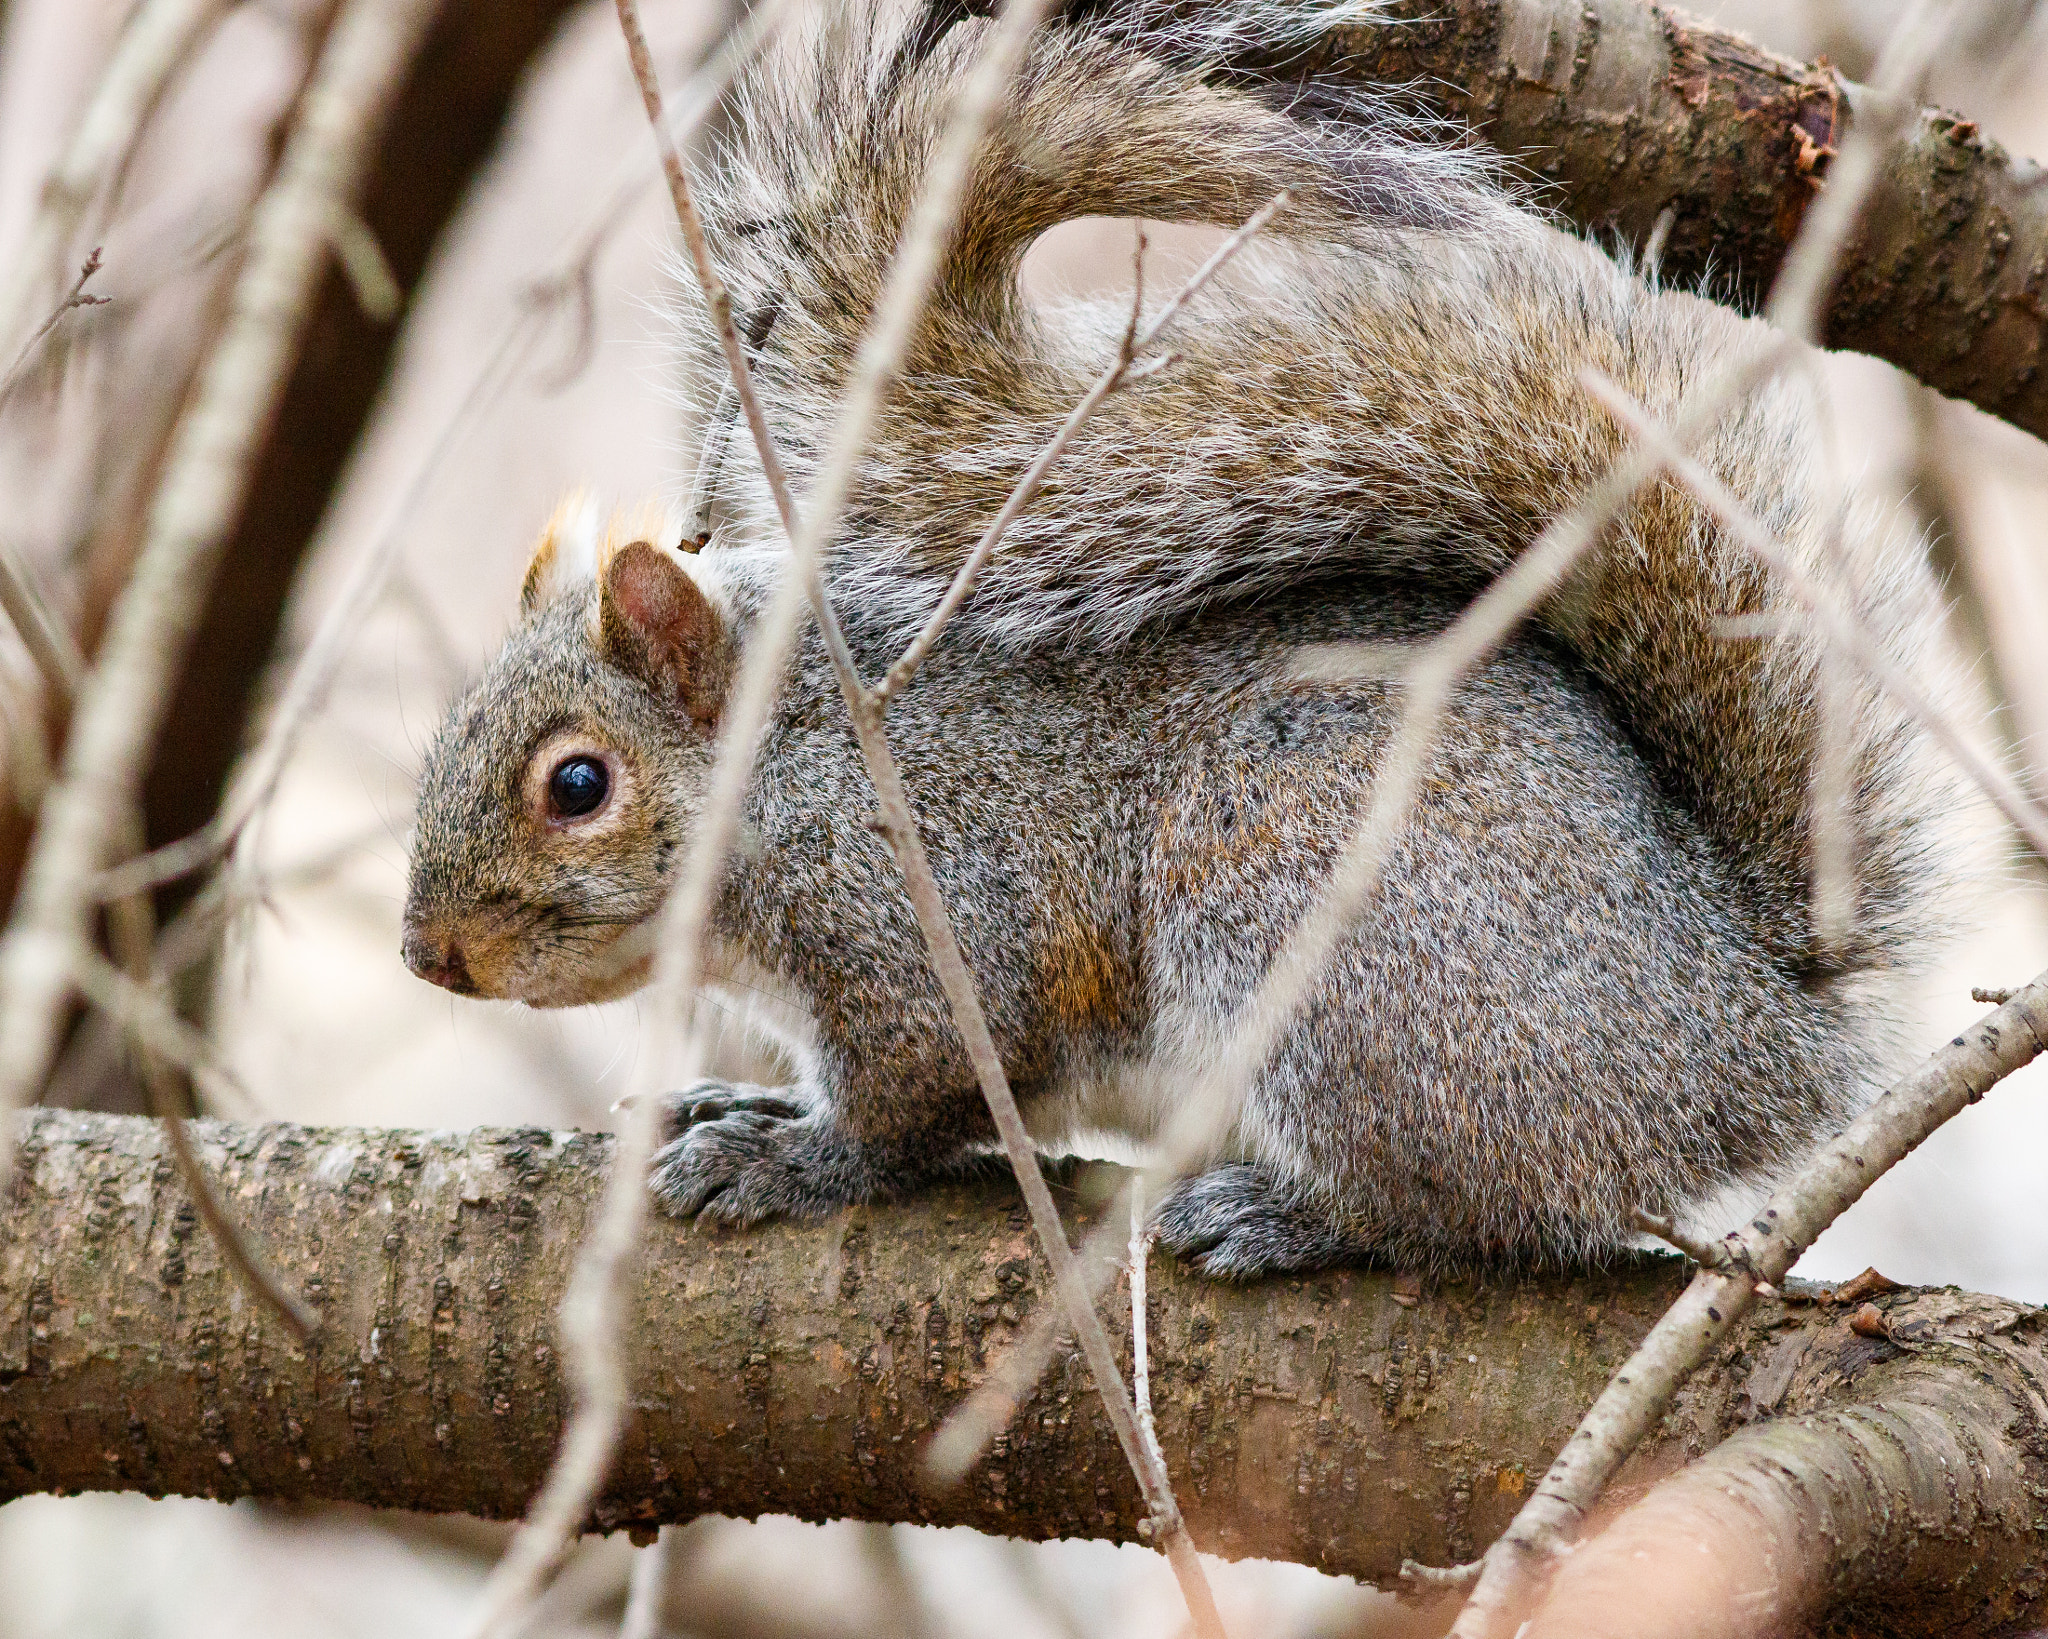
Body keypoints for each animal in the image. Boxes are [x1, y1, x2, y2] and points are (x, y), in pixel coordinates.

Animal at [401, 0, 1959, 1276]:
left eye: (578, 784)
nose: (429, 958)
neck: (786, 765)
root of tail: (1739, 1029)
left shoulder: (929, 911)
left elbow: (920, 1093)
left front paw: (789, 1157)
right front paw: (750, 1093)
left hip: (1323, 938)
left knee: (1481, 1213)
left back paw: (1292, 1217)